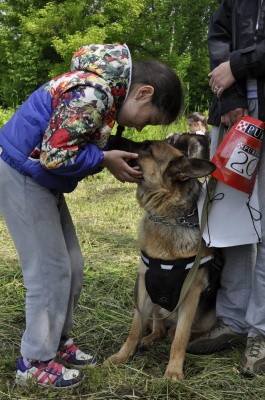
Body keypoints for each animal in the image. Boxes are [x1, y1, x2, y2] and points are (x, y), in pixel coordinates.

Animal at [105, 133, 219, 380]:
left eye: (148, 148)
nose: (111, 137)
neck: (167, 218)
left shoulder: (191, 294)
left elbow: (181, 338)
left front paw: (174, 371)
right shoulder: (145, 287)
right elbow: (135, 329)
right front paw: (122, 356)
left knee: (178, 331)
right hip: (155, 305)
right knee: (157, 328)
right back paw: (149, 339)